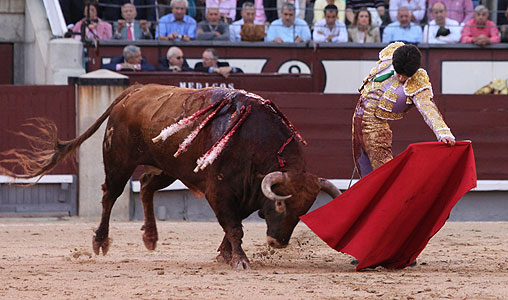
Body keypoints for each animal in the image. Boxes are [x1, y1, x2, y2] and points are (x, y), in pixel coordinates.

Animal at [1, 84, 342, 270]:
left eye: (304, 210)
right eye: (281, 205)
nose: (277, 242)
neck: (256, 143)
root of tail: (135, 90)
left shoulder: (245, 193)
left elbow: (234, 226)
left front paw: (224, 255)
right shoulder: (220, 191)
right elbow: (234, 227)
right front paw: (239, 259)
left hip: (167, 167)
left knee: (146, 187)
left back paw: (150, 237)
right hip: (118, 161)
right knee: (110, 195)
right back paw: (100, 241)